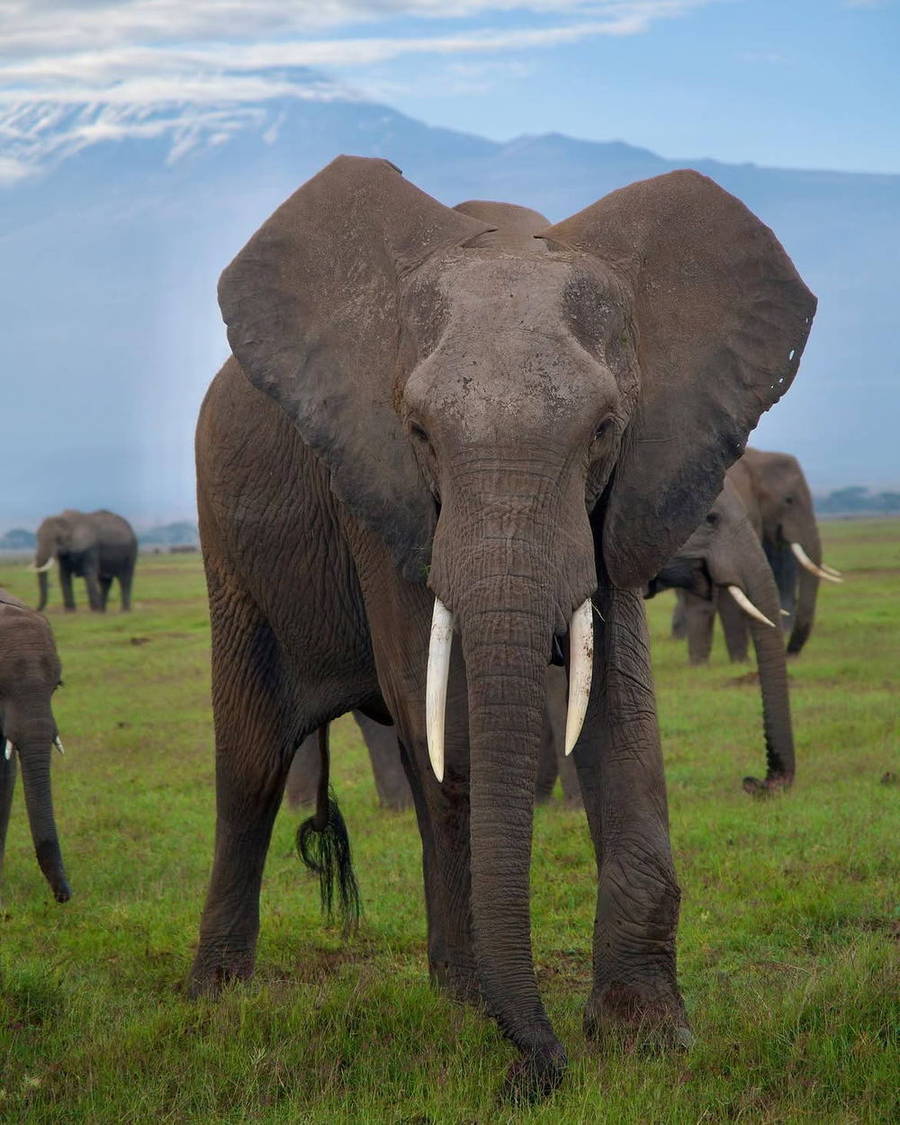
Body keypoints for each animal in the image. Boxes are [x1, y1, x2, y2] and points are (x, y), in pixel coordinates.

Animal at [188, 156, 815, 1098]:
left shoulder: (617, 499)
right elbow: (452, 723)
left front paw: (647, 1035)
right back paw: (219, 997)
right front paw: (514, 1031)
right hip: (228, 546)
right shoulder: (378, 485)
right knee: (259, 758)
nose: (761, 781)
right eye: (418, 430)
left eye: (604, 429)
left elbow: (621, 716)